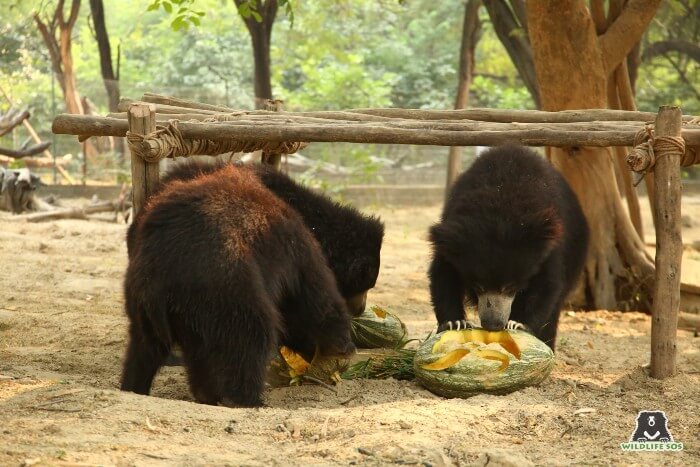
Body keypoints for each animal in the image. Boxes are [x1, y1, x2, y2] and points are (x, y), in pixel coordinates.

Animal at [119, 166, 356, 408]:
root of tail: (160, 277)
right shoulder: (294, 247)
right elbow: (318, 295)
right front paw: (342, 346)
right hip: (226, 287)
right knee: (252, 335)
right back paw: (248, 399)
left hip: (146, 304)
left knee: (147, 347)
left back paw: (138, 387)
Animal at [430, 144, 588, 350]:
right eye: (478, 286)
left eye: (510, 287)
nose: (493, 324)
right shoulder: (452, 237)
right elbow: (443, 274)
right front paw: (454, 323)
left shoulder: (550, 246)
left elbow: (547, 284)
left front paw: (518, 324)